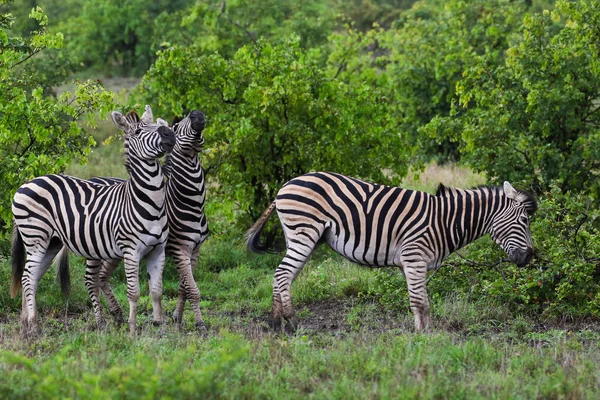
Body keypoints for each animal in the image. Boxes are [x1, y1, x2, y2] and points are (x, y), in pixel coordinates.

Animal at [10, 107, 175, 338]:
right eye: (138, 132)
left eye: (158, 125)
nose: (169, 133)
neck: (150, 202)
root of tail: (26, 183)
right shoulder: (131, 250)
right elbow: (134, 292)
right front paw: (133, 331)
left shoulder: (158, 250)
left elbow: (157, 292)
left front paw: (160, 327)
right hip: (36, 237)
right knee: (27, 278)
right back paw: (34, 326)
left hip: (51, 243)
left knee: (32, 278)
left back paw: (26, 325)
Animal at [63, 108, 209, 332]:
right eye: (176, 126)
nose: (196, 113)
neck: (191, 203)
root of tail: (93, 178)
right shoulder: (180, 249)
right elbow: (192, 288)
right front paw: (199, 323)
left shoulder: (195, 250)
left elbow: (184, 286)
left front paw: (177, 316)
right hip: (95, 248)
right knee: (92, 279)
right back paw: (103, 320)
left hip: (112, 252)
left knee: (103, 277)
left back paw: (118, 314)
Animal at [246, 172, 536, 332]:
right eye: (524, 221)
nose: (530, 257)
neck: (445, 221)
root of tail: (285, 186)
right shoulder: (414, 257)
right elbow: (421, 302)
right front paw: (423, 337)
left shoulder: (414, 263)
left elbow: (420, 301)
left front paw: (426, 333)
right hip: (304, 232)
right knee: (283, 274)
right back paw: (292, 324)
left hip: (299, 236)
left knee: (284, 276)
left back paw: (278, 324)